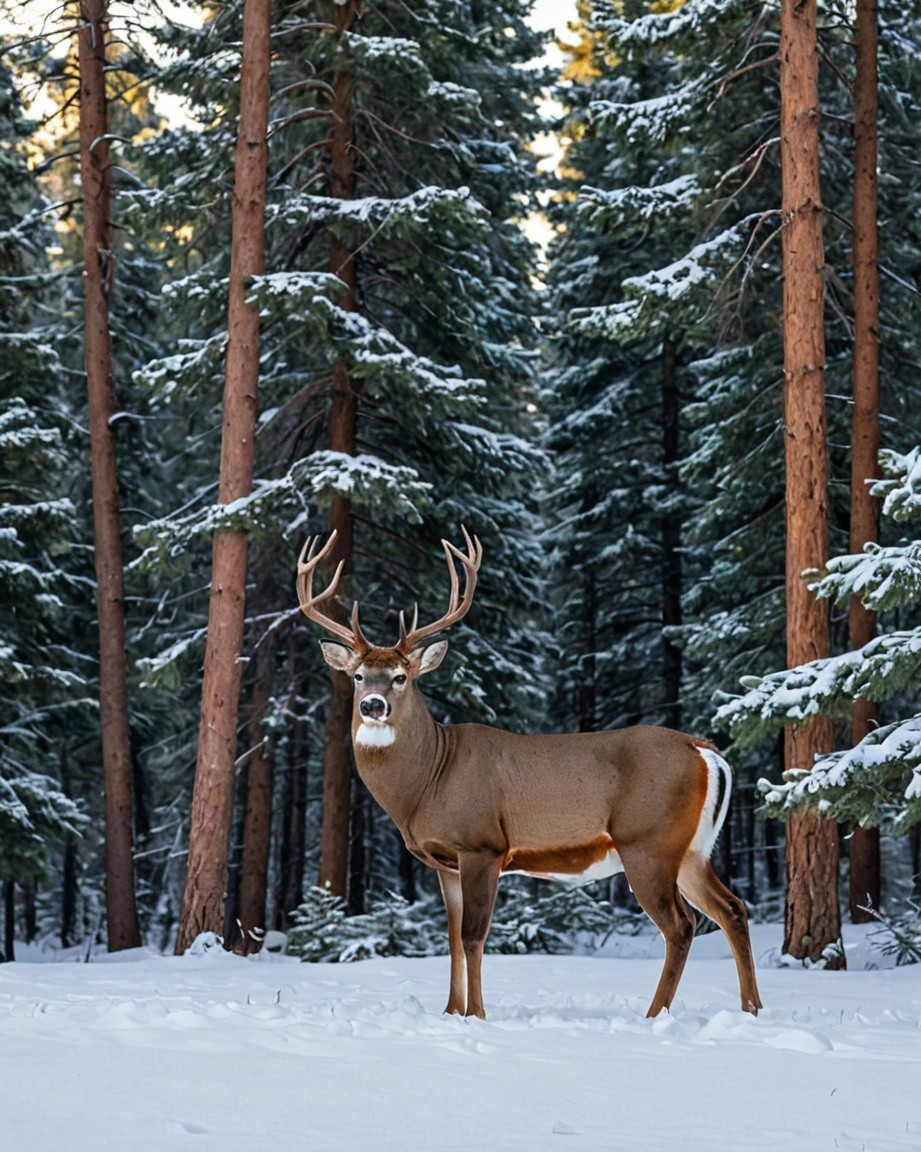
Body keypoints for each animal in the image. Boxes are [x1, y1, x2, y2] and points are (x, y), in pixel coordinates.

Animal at [296, 528, 763, 1021]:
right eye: (358, 675)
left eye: (402, 676)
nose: (373, 705)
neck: (425, 784)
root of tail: (703, 749)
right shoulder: (444, 861)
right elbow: (451, 938)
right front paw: (450, 1011)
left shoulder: (482, 844)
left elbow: (473, 935)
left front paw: (476, 1014)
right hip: (691, 849)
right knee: (732, 908)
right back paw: (751, 1008)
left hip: (648, 842)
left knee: (681, 925)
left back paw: (656, 1014)